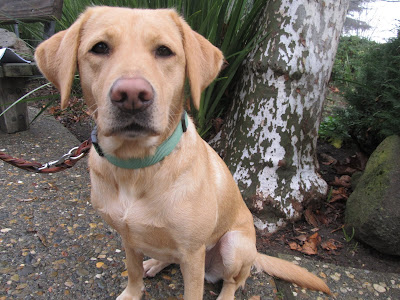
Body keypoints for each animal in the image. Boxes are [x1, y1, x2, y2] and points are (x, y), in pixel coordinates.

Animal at [36, 5, 332, 298]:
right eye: (99, 47)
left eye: (164, 50)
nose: (132, 95)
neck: (137, 165)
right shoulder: (128, 237)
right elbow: (132, 272)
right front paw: (132, 292)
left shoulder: (193, 253)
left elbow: (194, 289)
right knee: (169, 258)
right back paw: (154, 263)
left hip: (233, 245)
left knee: (233, 281)